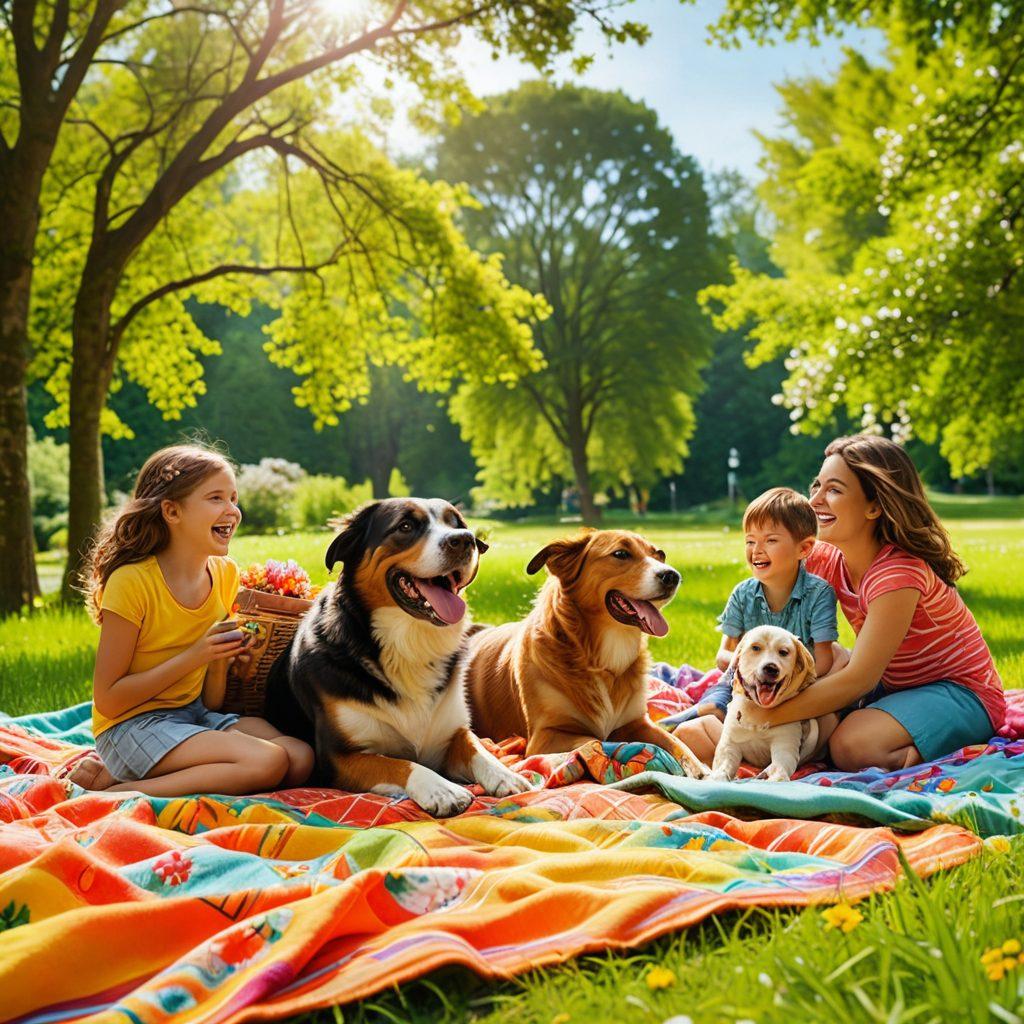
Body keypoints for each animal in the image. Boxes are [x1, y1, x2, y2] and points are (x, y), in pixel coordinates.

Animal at [264, 495, 532, 815]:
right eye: (405, 526)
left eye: (456, 523)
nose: (464, 540)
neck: (408, 644)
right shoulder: (338, 758)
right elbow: (399, 763)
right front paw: (441, 788)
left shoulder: (450, 733)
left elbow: (477, 746)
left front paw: (505, 774)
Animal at [468, 528, 708, 774]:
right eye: (621, 554)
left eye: (660, 555)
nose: (673, 576)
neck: (601, 658)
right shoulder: (545, 736)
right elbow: (599, 740)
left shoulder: (638, 722)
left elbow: (677, 743)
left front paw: (700, 770)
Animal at [708, 622, 819, 782]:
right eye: (755, 648)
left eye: (783, 652)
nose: (771, 668)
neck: (758, 711)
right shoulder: (730, 743)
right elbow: (723, 765)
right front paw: (718, 777)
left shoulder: (784, 745)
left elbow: (779, 767)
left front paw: (775, 778)